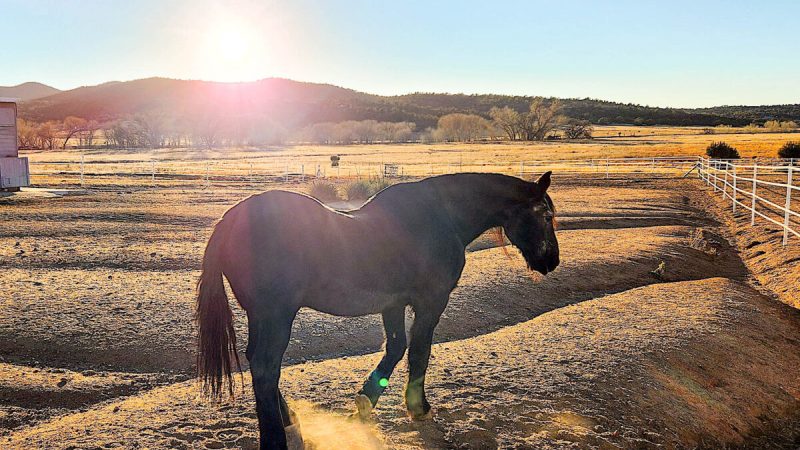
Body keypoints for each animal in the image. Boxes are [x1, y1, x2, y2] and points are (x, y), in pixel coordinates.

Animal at [196, 172, 559, 450]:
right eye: (546, 216)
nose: (552, 261)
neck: (442, 217)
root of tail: (229, 221)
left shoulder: (393, 304)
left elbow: (396, 347)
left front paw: (366, 401)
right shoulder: (431, 301)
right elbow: (420, 352)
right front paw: (418, 407)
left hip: (262, 316)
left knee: (258, 363)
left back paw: (289, 420)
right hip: (276, 316)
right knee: (265, 368)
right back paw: (275, 438)